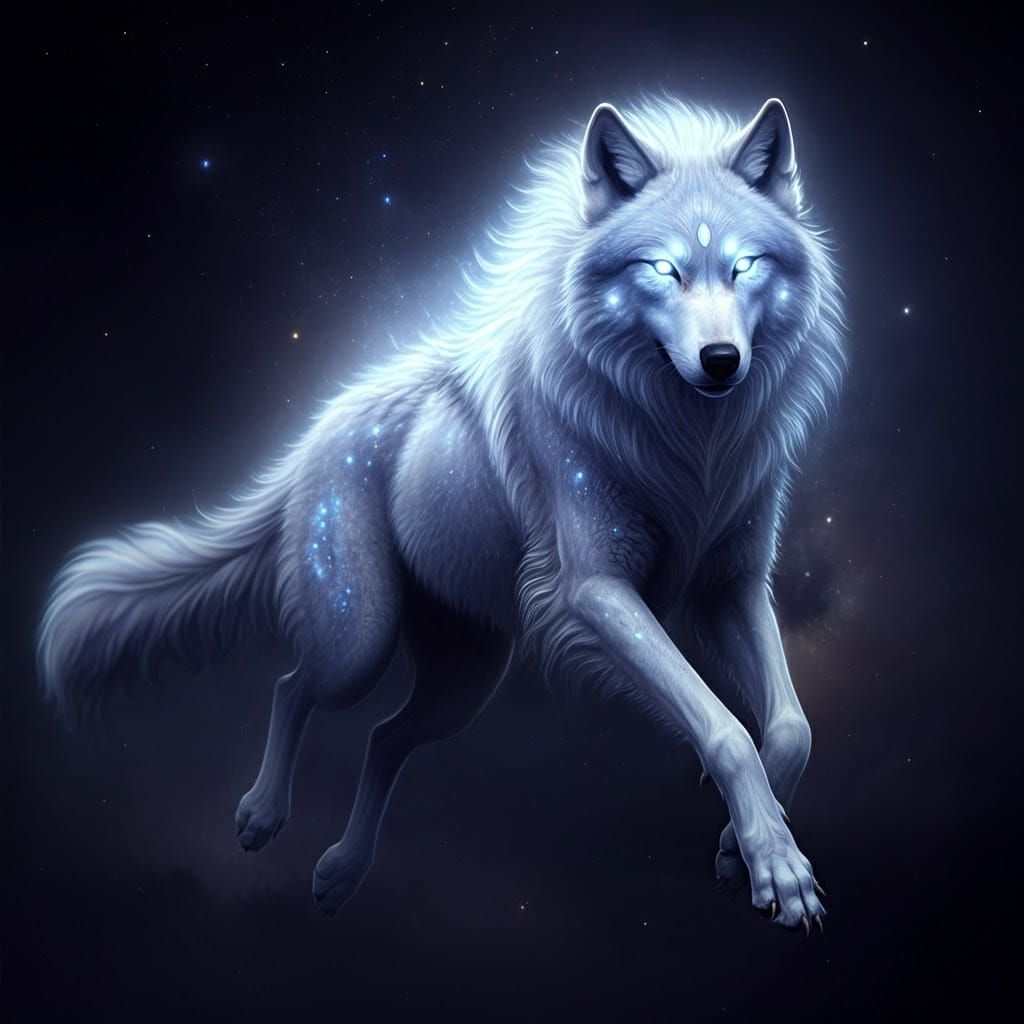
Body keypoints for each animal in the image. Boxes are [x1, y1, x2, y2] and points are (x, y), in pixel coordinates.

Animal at [38, 95, 844, 931]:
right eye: (664, 269)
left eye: (745, 265)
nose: (721, 361)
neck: (692, 443)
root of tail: (314, 436)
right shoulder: (596, 591)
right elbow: (725, 727)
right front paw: (777, 865)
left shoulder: (730, 588)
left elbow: (791, 728)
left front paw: (738, 847)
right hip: (358, 642)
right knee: (293, 686)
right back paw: (263, 814)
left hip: (466, 683)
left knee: (385, 739)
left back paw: (341, 873)